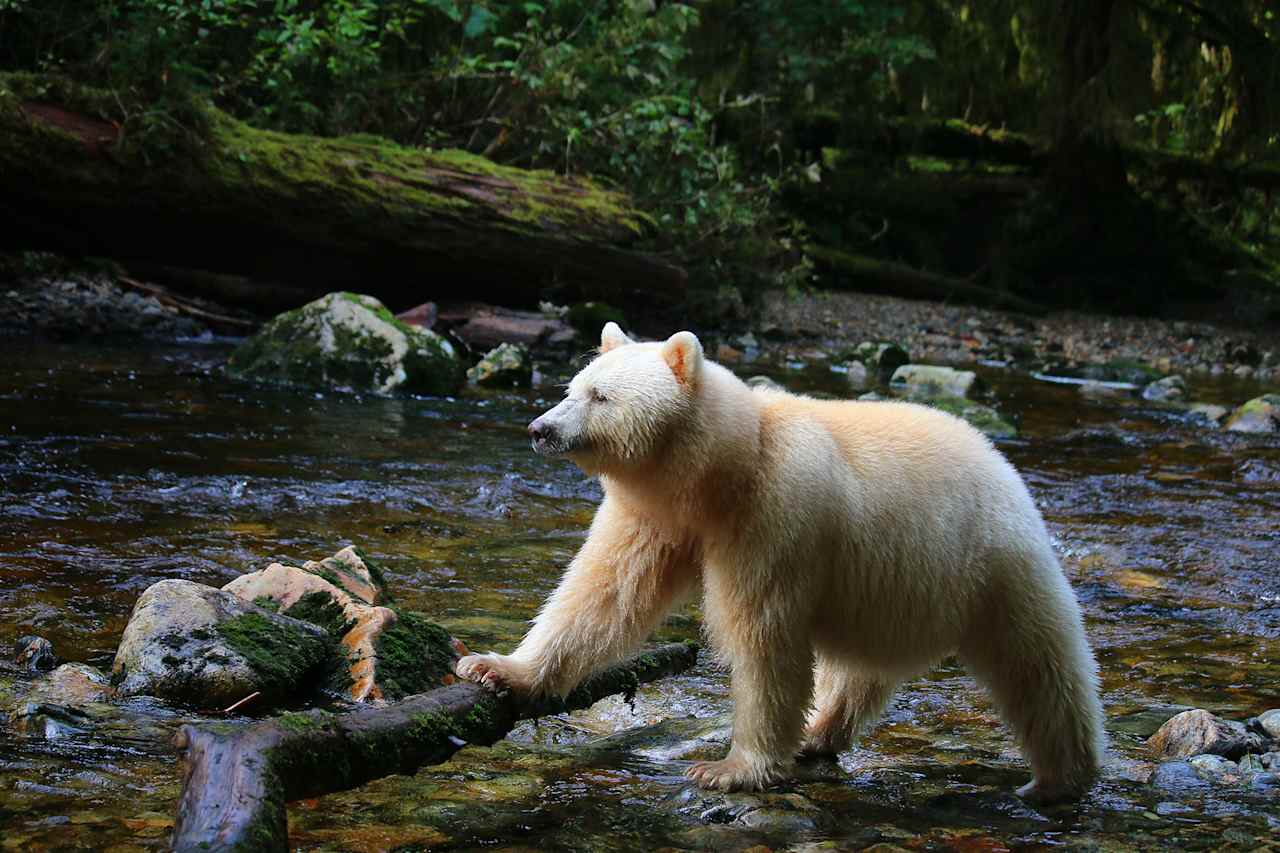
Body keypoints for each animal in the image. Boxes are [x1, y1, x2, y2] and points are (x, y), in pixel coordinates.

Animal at [457, 323, 1104, 800]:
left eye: (600, 395)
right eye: (573, 386)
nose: (540, 428)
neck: (721, 471)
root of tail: (1003, 464)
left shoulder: (776, 517)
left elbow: (763, 635)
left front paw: (730, 768)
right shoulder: (657, 516)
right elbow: (602, 593)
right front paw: (494, 667)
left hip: (996, 563)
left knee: (1041, 665)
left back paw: (1060, 777)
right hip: (895, 588)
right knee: (860, 672)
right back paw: (820, 733)